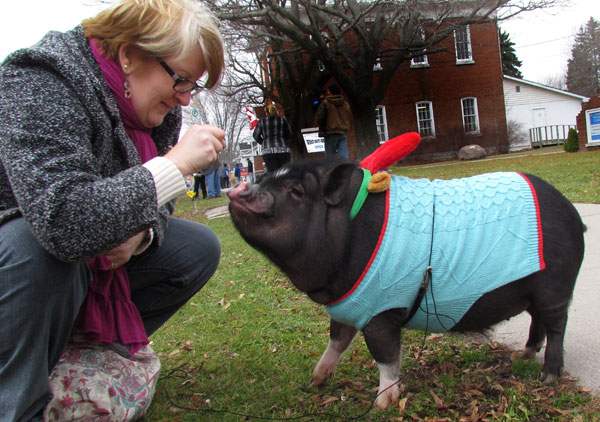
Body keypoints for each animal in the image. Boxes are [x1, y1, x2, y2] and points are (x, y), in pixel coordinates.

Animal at [226, 157, 584, 408]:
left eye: (296, 192)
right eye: (264, 178)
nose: (239, 188)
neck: (348, 234)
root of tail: (574, 214)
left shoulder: (381, 311)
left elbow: (385, 356)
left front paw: (382, 403)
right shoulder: (348, 309)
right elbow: (336, 342)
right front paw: (315, 381)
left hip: (554, 285)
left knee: (557, 326)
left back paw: (548, 377)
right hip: (534, 292)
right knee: (538, 322)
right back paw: (520, 357)